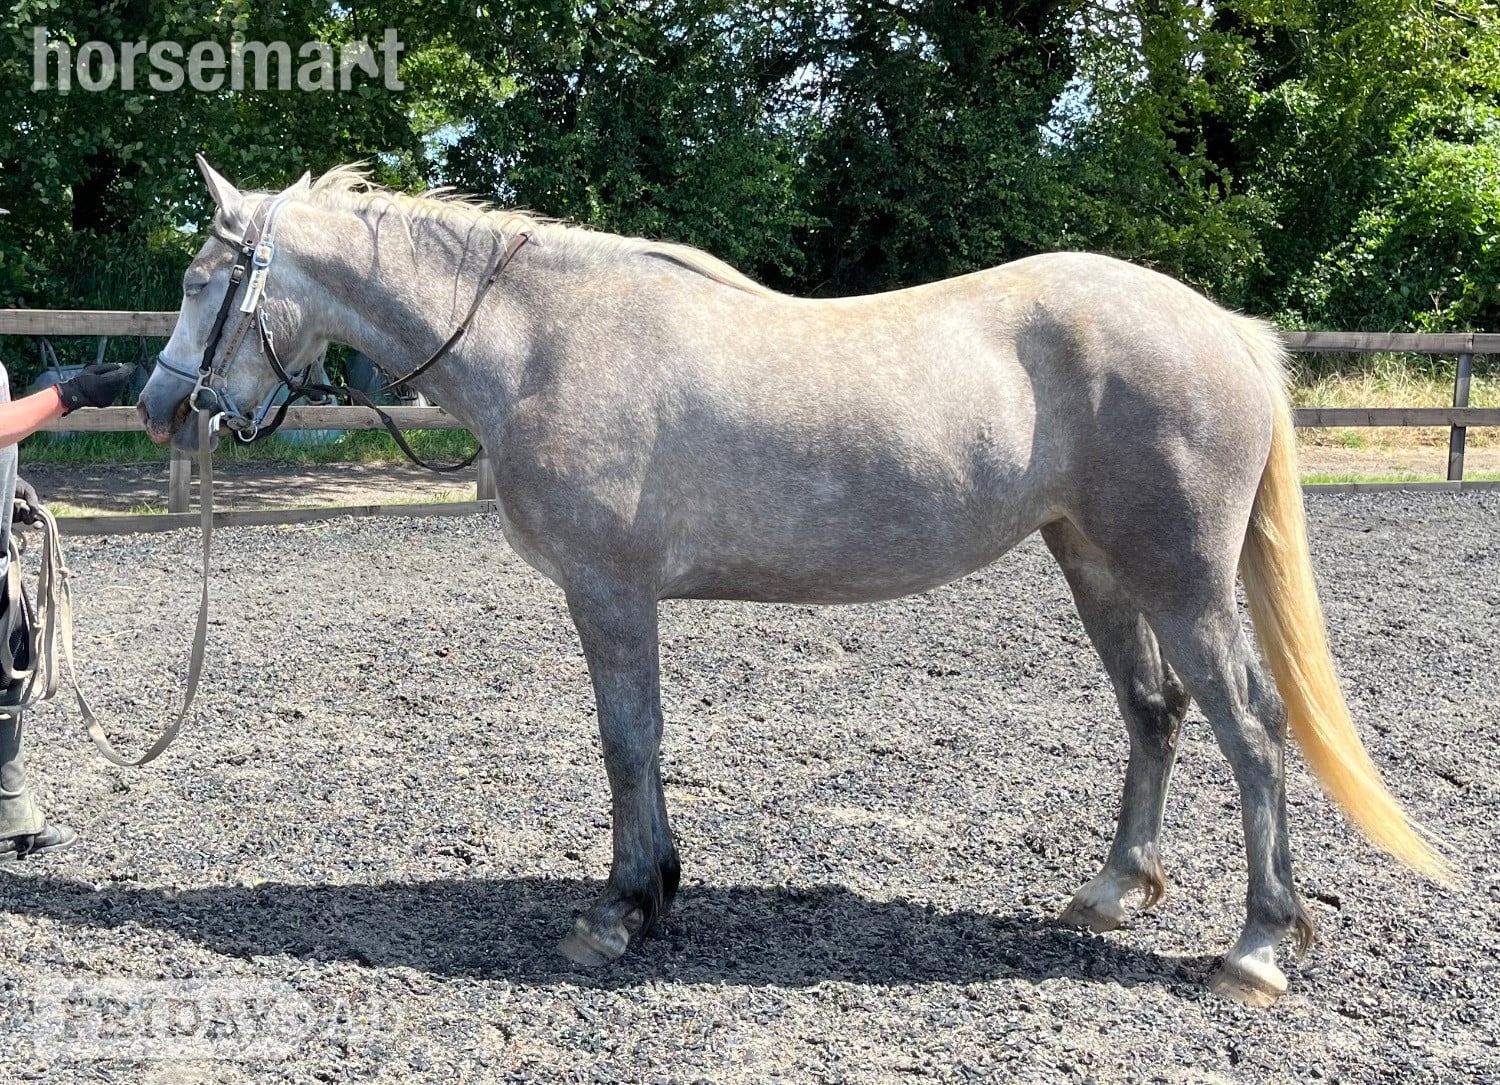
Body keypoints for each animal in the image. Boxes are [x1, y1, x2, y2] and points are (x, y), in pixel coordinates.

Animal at [137, 158, 1451, 1007]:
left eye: (206, 282)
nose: (157, 405)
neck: (543, 339)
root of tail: (1224, 328)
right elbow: (644, 741)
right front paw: (657, 892)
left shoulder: (608, 590)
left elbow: (626, 740)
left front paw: (617, 910)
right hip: (1094, 562)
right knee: (1155, 712)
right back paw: (1116, 888)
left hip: (1179, 578)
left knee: (1253, 732)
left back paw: (1259, 945)